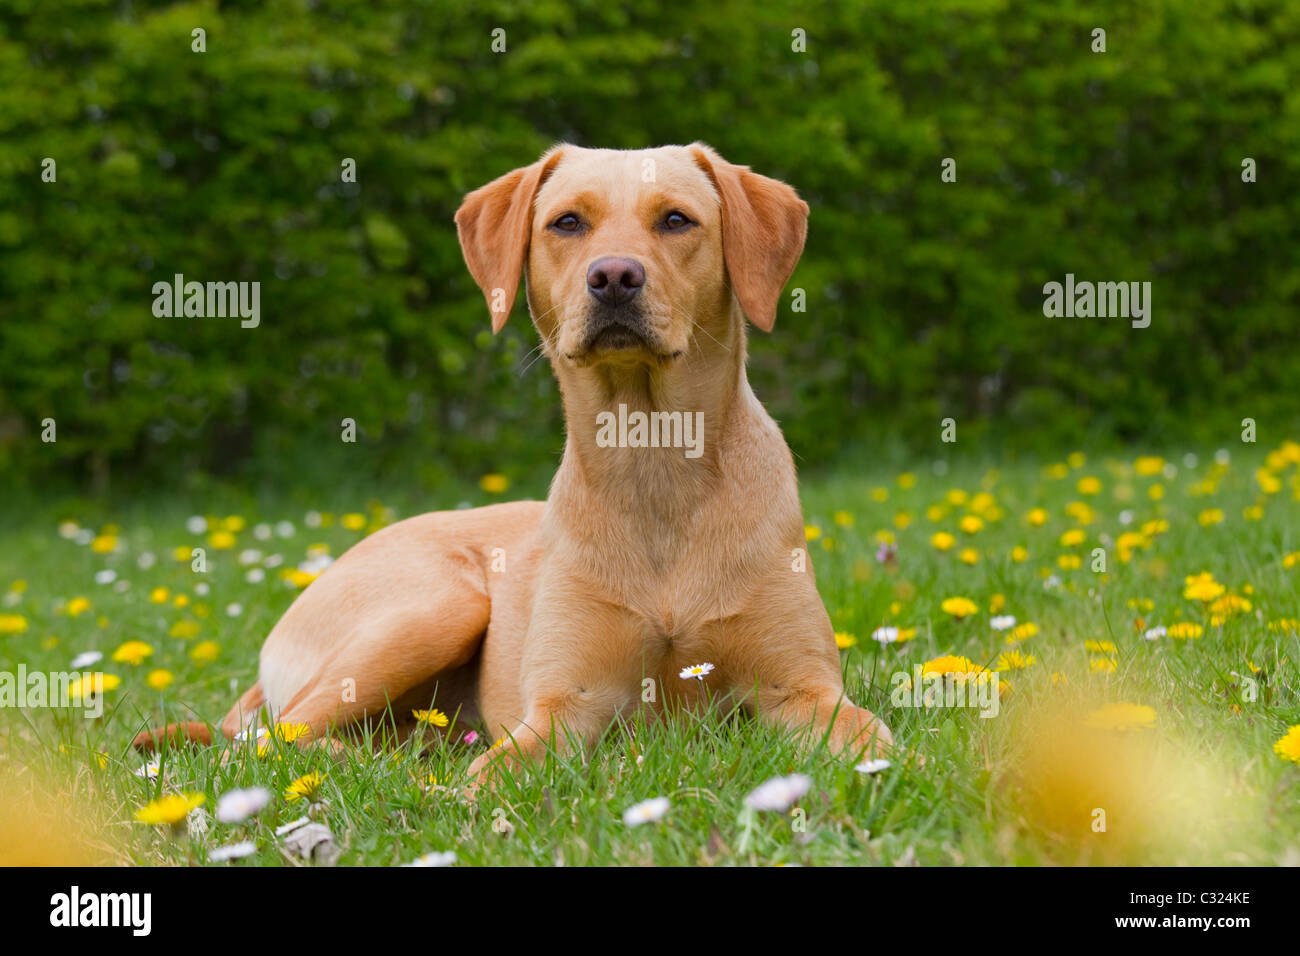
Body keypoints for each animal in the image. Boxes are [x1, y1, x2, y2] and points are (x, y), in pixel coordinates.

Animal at [139, 143, 894, 785]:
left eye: (677, 220)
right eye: (567, 222)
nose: (613, 276)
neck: (651, 459)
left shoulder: (805, 691)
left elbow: (872, 739)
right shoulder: (564, 706)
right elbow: (497, 775)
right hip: (435, 606)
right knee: (265, 743)